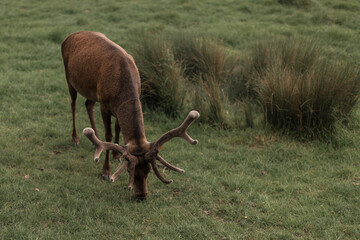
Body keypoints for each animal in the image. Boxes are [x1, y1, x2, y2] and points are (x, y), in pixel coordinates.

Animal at [61, 31, 200, 200]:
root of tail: (70, 36)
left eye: (148, 170)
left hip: (92, 92)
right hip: (69, 78)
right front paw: (106, 172)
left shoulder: (117, 107)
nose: (142, 195)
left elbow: (118, 129)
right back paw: (75, 138)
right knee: (73, 105)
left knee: (88, 104)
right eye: (129, 171)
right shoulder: (105, 106)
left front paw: (116, 156)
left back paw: (95, 140)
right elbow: (109, 135)